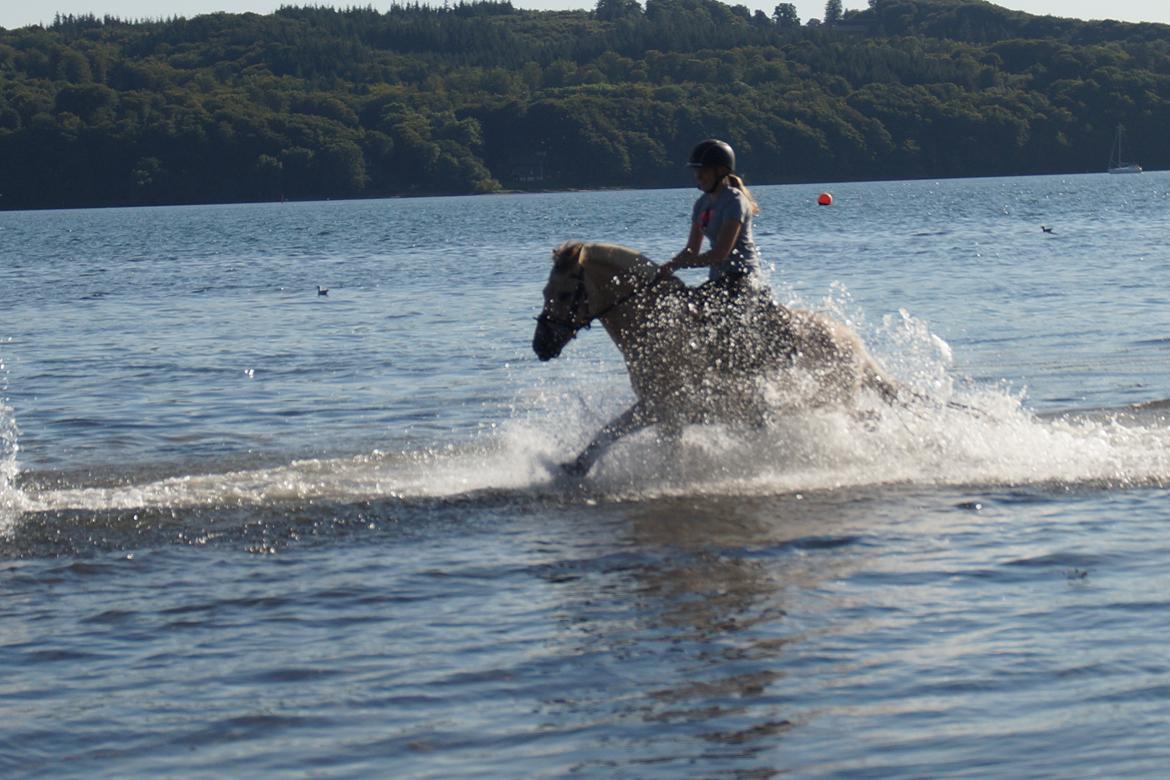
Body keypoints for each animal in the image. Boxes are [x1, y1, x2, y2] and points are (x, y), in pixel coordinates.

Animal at [535, 242, 898, 477]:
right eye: (544, 292)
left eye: (564, 294)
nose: (540, 345)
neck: (657, 325)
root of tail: (855, 347)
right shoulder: (657, 408)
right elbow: (609, 432)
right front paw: (574, 467)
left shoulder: (667, 411)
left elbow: (645, 445)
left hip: (830, 399)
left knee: (865, 417)